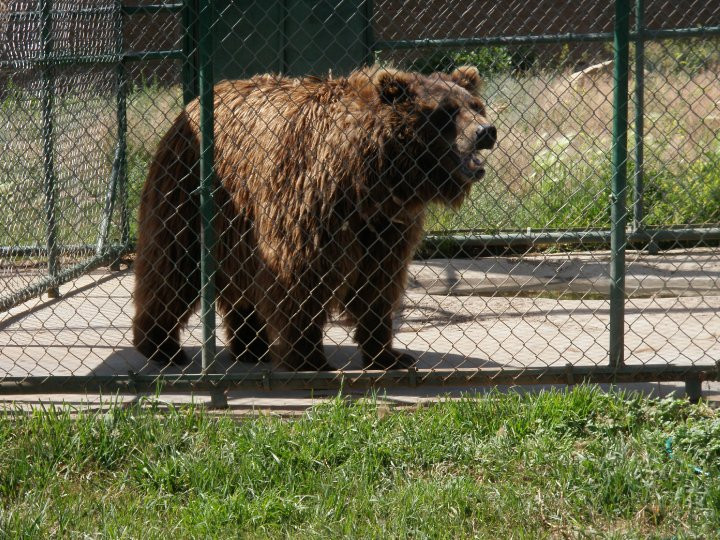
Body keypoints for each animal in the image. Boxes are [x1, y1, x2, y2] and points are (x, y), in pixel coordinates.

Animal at [132, 65, 496, 372]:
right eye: (445, 112)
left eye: (475, 105)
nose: (486, 131)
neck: (370, 179)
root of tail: (195, 103)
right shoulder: (312, 202)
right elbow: (302, 276)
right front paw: (309, 357)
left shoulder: (385, 224)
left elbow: (378, 283)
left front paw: (389, 354)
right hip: (188, 189)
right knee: (172, 264)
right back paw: (162, 346)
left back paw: (252, 347)